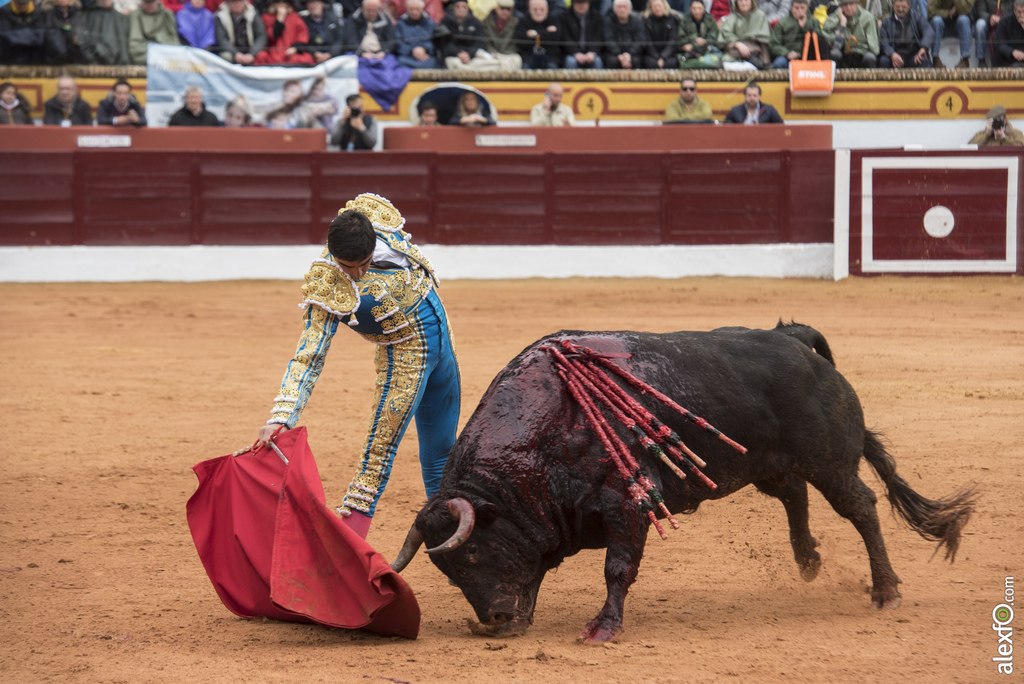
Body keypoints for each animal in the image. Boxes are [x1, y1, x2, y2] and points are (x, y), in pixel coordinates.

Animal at [387, 323, 970, 643]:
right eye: (449, 574)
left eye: (474, 553)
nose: (496, 621)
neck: (544, 433)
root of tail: (796, 341)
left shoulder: (628, 504)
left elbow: (617, 568)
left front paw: (603, 629)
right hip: (766, 464)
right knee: (794, 494)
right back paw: (808, 560)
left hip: (829, 462)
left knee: (862, 507)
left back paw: (886, 591)